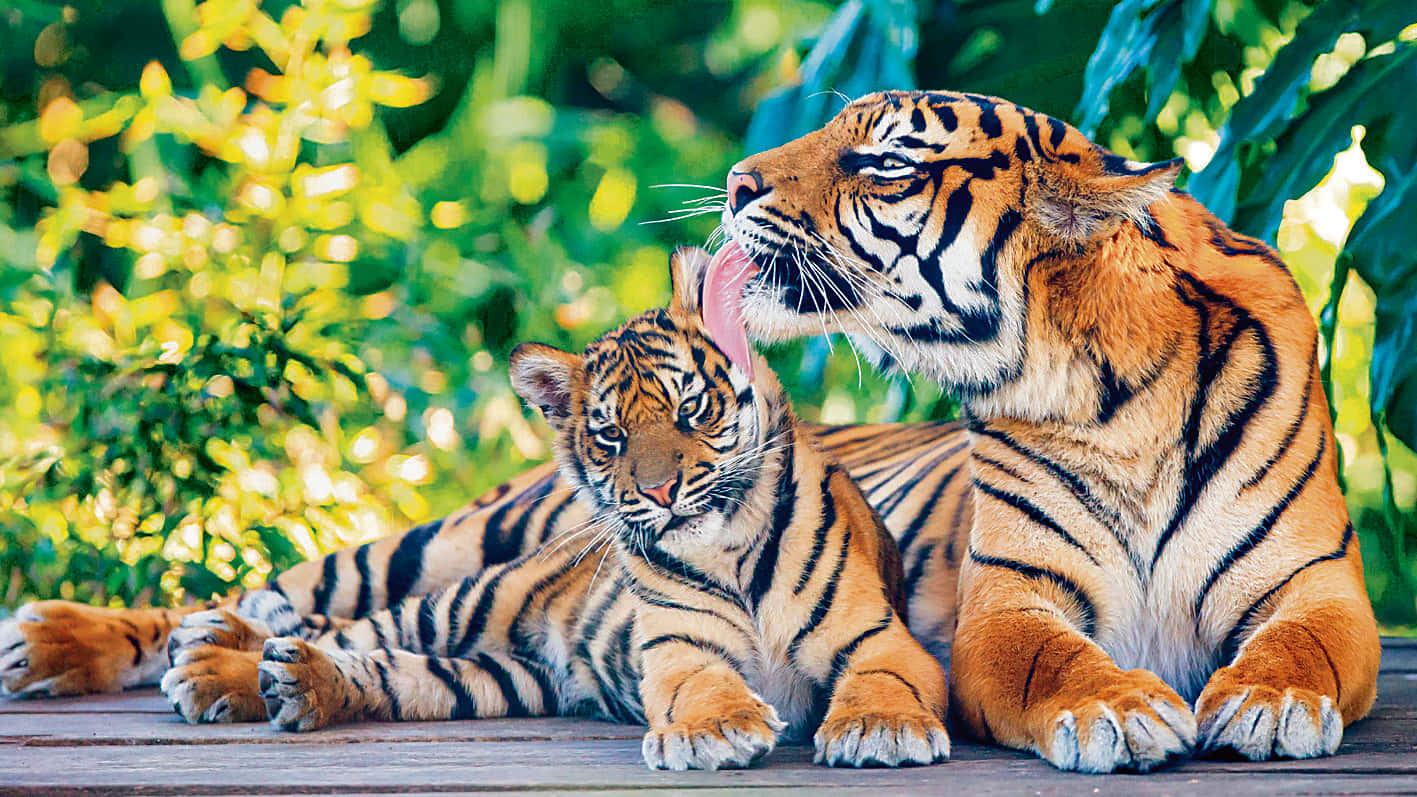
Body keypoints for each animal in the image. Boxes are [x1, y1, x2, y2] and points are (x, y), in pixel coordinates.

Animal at [699, 88, 1380, 772]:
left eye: (887, 162)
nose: (734, 183)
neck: (1119, 402)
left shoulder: (1319, 579)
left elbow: (1303, 641)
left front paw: (1271, 699)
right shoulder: (1005, 598)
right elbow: (1054, 660)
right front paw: (1119, 708)